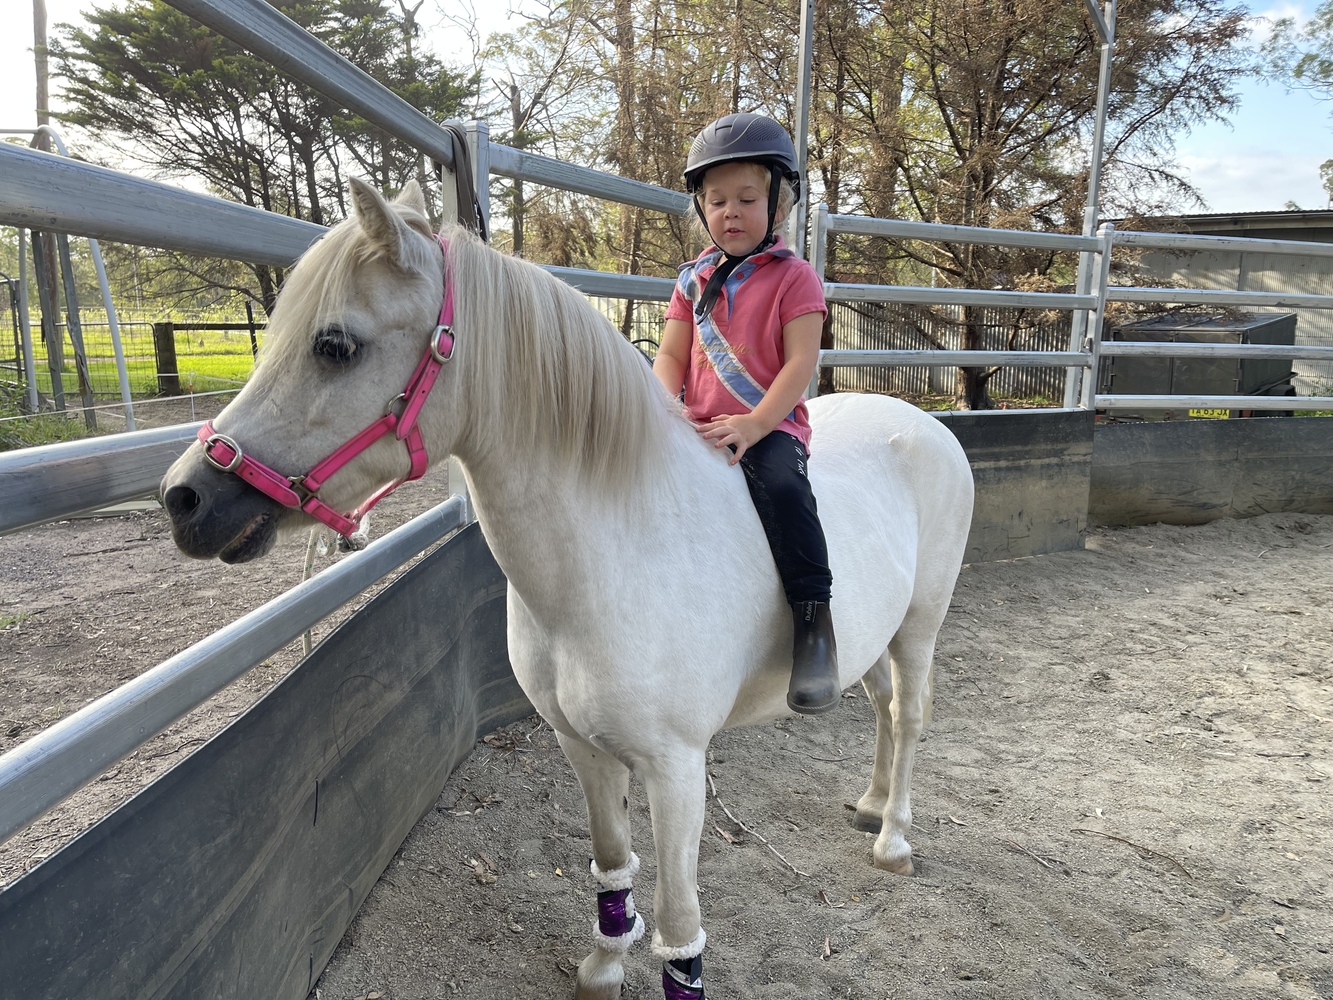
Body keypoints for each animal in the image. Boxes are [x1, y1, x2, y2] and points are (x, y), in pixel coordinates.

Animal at [159, 177, 975, 999]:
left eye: (335, 346)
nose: (184, 498)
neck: (617, 555)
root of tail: (922, 422)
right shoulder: (581, 747)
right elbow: (611, 862)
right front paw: (604, 965)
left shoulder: (678, 770)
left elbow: (679, 922)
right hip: (872, 638)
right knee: (880, 706)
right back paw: (870, 804)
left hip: (919, 627)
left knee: (909, 716)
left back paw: (893, 837)